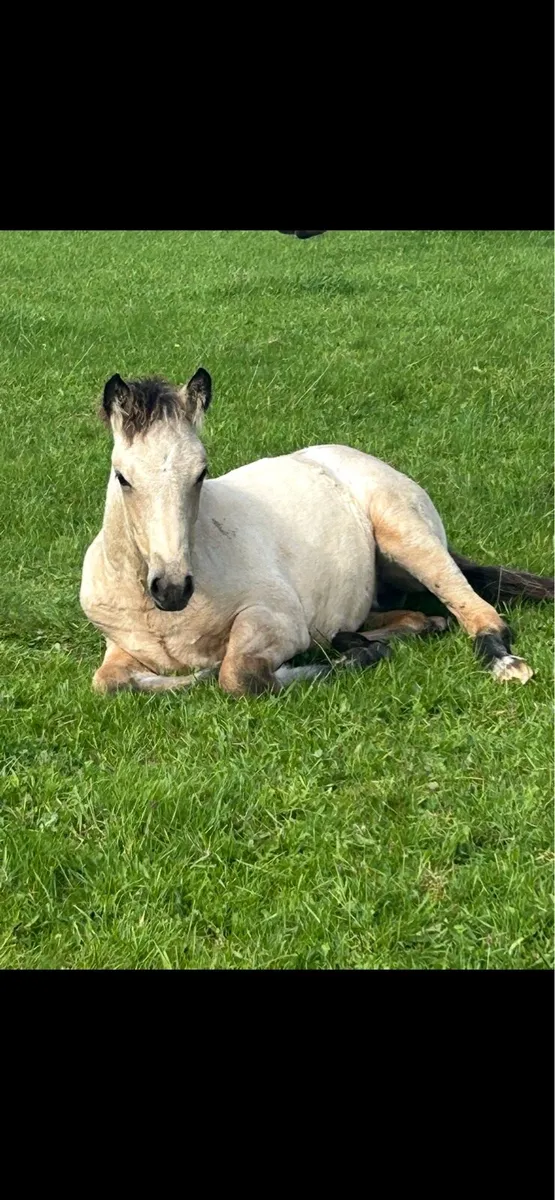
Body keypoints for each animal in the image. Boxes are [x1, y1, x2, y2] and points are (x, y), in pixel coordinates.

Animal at [80, 368, 553, 698]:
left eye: (201, 473)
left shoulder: (277, 621)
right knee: (418, 618)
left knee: (476, 611)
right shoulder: (121, 648)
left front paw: (353, 659)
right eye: (123, 477)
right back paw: (358, 636)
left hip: (408, 536)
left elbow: (237, 676)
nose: (173, 588)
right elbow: (110, 682)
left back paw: (504, 663)